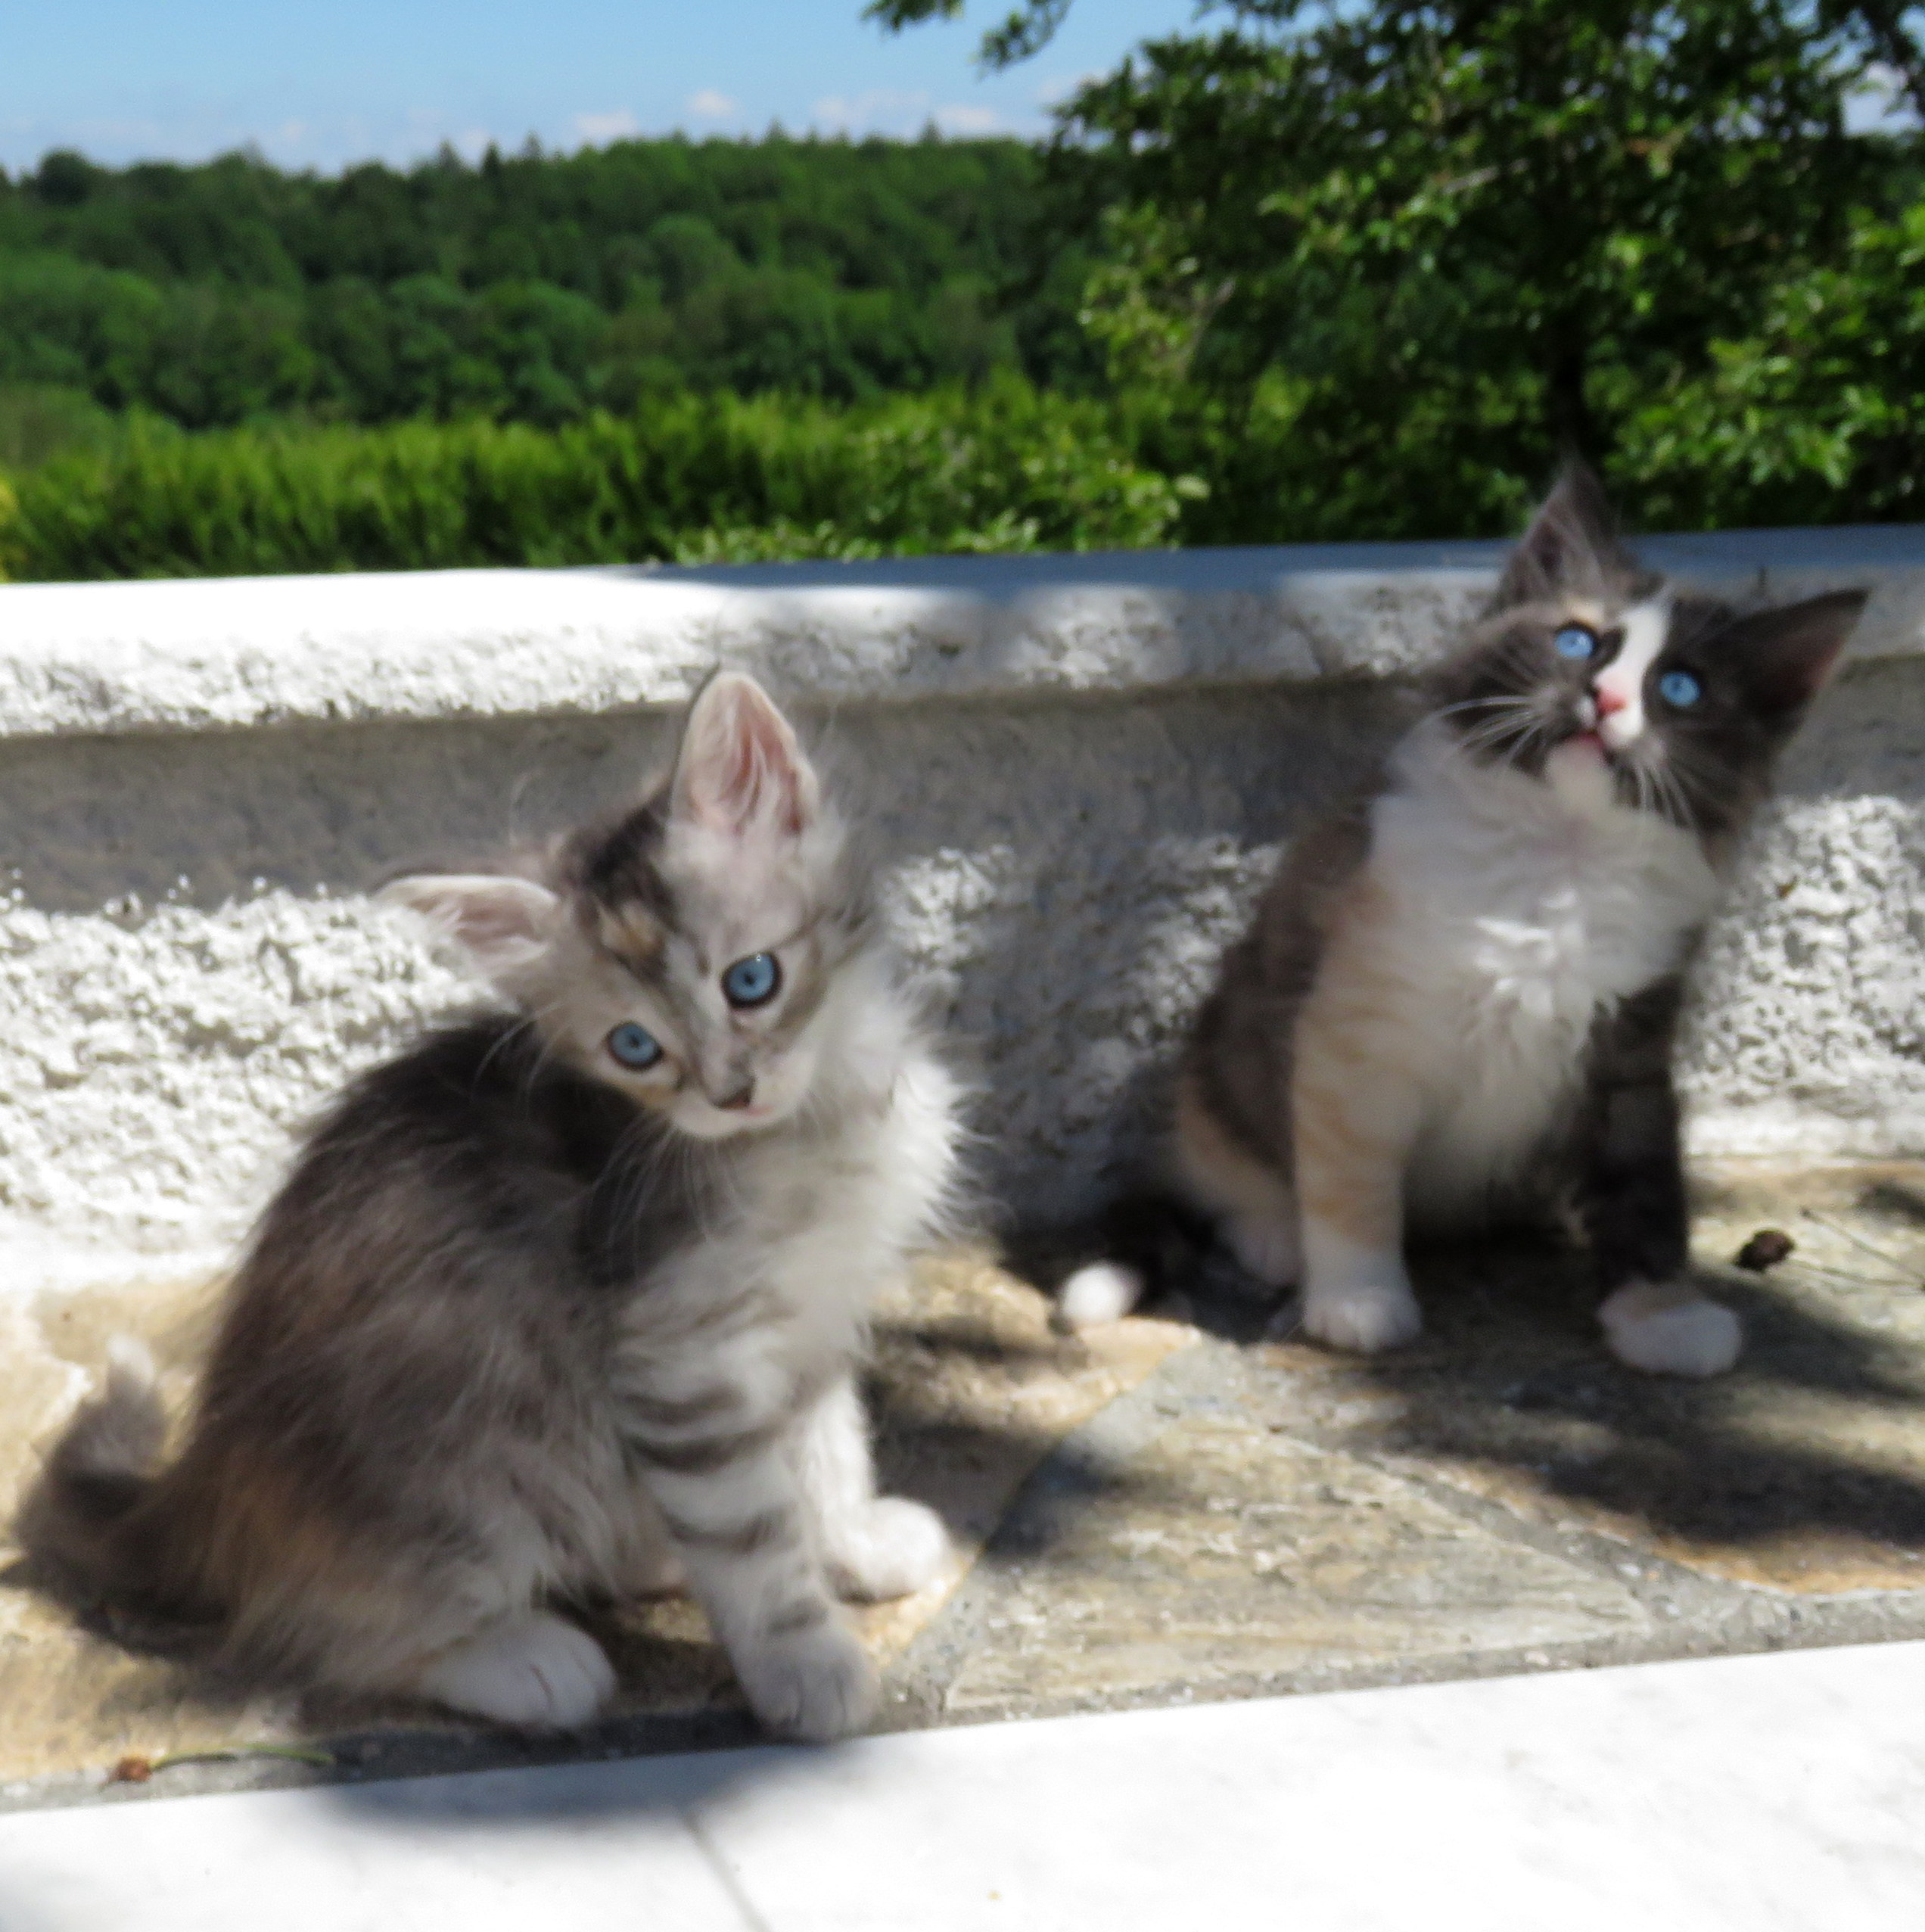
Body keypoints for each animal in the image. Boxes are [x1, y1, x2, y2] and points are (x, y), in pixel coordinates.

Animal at [24, 671, 963, 1740]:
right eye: (635, 1047)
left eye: (751, 979)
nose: (729, 1095)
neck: (816, 1123)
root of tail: (206, 1478)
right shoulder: (681, 1357)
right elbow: (754, 1537)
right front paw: (805, 1662)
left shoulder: (813, 1324)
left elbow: (827, 1455)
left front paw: (853, 1544)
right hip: (470, 1458)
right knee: (315, 1628)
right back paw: (527, 1659)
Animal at [1060, 467, 1867, 1378]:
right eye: (1578, 643)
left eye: (1680, 688)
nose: (1603, 697)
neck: (1559, 856)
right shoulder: (1357, 1030)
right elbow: (1351, 1183)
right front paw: (1359, 1300)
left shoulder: (1628, 1045)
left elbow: (1646, 1187)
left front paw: (1664, 1315)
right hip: (1224, 1070)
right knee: (1230, 1173)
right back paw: (1277, 1236)